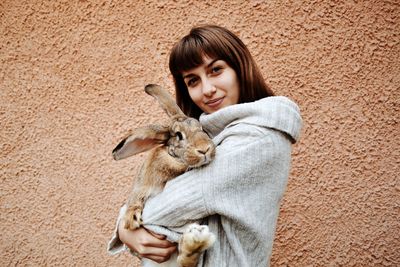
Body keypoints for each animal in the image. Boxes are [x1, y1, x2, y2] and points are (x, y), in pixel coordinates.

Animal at [112, 84, 216, 267]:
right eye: (179, 135)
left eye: (202, 129)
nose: (205, 149)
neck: (175, 160)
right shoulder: (141, 186)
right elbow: (134, 198)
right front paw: (131, 218)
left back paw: (196, 241)